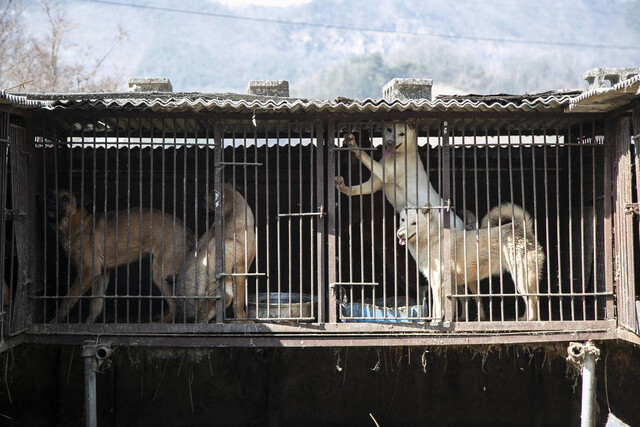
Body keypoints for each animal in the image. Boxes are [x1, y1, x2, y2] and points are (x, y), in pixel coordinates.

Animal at [46, 191, 194, 324]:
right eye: (50, 195)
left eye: (65, 198)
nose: (50, 203)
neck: (76, 225)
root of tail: (185, 228)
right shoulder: (102, 274)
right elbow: (96, 305)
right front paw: (89, 326)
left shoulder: (88, 271)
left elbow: (68, 298)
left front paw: (55, 321)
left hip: (160, 272)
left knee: (175, 306)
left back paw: (159, 323)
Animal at [175, 185, 258, 324]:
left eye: (203, 196)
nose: (193, 200)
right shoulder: (240, 270)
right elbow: (239, 300)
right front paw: (243, 319)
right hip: (225, 289)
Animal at [398, 203, 544, 320]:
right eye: (403, 220)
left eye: (414, 223)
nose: (399, 234)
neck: (431, 240)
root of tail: (521, 228)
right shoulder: (443, 283)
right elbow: (449, 304)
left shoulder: (439, 282)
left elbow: (438, 307)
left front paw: (436, 322)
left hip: (521, 279)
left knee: (532, 300)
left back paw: (529, 320)